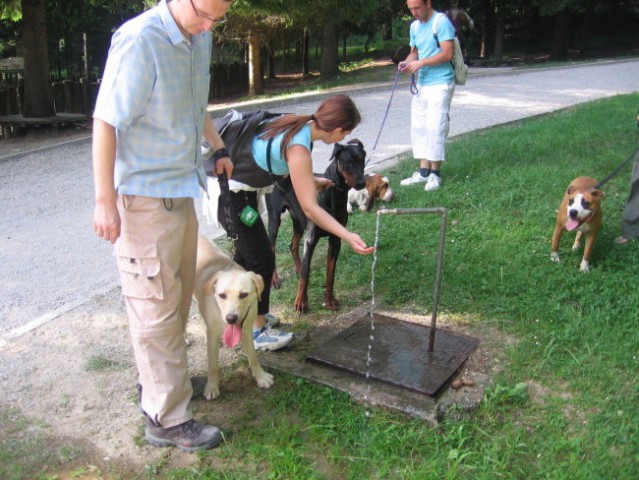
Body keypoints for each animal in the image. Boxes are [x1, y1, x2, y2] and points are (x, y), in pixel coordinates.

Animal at [195, 234, 276, 400]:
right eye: (222, 295)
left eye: (243, 295)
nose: (231, 318)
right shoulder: (212, 333)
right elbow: (212, 364)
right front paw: (212, 387)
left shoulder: (246, 329)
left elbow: (253, 357)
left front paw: (261, 377)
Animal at [264, 137, 364, 314]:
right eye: (349, 162)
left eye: (362, 159)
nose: (362, 182)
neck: (334, 193)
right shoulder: (311, 238)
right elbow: (305, 276)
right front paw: (301, 302)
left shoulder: (335, 239)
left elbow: (330, 273)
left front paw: (329, 301)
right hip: (275, 219)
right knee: (273, 247)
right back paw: (275, 279)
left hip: (298, 219)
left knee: (293, 246)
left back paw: (298, 268)